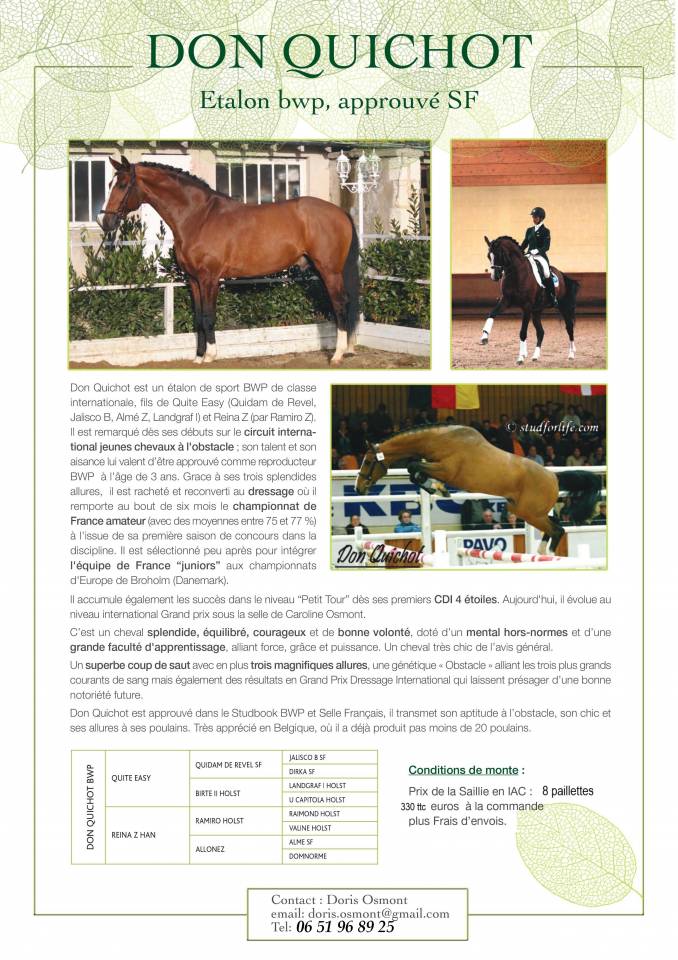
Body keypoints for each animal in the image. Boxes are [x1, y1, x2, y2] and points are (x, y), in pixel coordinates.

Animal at [100, 156, 360, 365]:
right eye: (110, 184)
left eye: (122, 184)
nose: (106, 223)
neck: (199, 217)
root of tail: (340, 212)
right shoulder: (193, 280)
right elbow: (198, 317)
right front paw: (198, 357)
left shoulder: (210, 279)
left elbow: (208, 316)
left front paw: (210, 355)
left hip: (330, 271)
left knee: (340, 304)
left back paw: (338, 355)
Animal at [354, 425, 601, 554]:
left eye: (368, 462)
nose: (358, 488)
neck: (440, 441)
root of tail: (553, 477)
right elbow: (414, 471)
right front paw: (438, 489)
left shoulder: (446, 470)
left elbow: (413, 466)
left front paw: (437, 489)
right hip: (526, 511)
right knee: (555, 526)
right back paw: (541, 553)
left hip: (529, 513)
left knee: (558, 530)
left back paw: (545, 554)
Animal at [480, 236, 580, 365]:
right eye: (489, 255)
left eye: (499, 254)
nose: (495, 276)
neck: (517, 273)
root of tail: (561, 274)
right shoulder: (505, 300)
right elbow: (492, 314)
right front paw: (484, 336)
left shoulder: (526, 306)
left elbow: (523, 332)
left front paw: (521, 357)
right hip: (536, 311)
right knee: (541, 332)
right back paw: (535, 356)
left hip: (563, 307)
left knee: (569, 328)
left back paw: (571, 354)